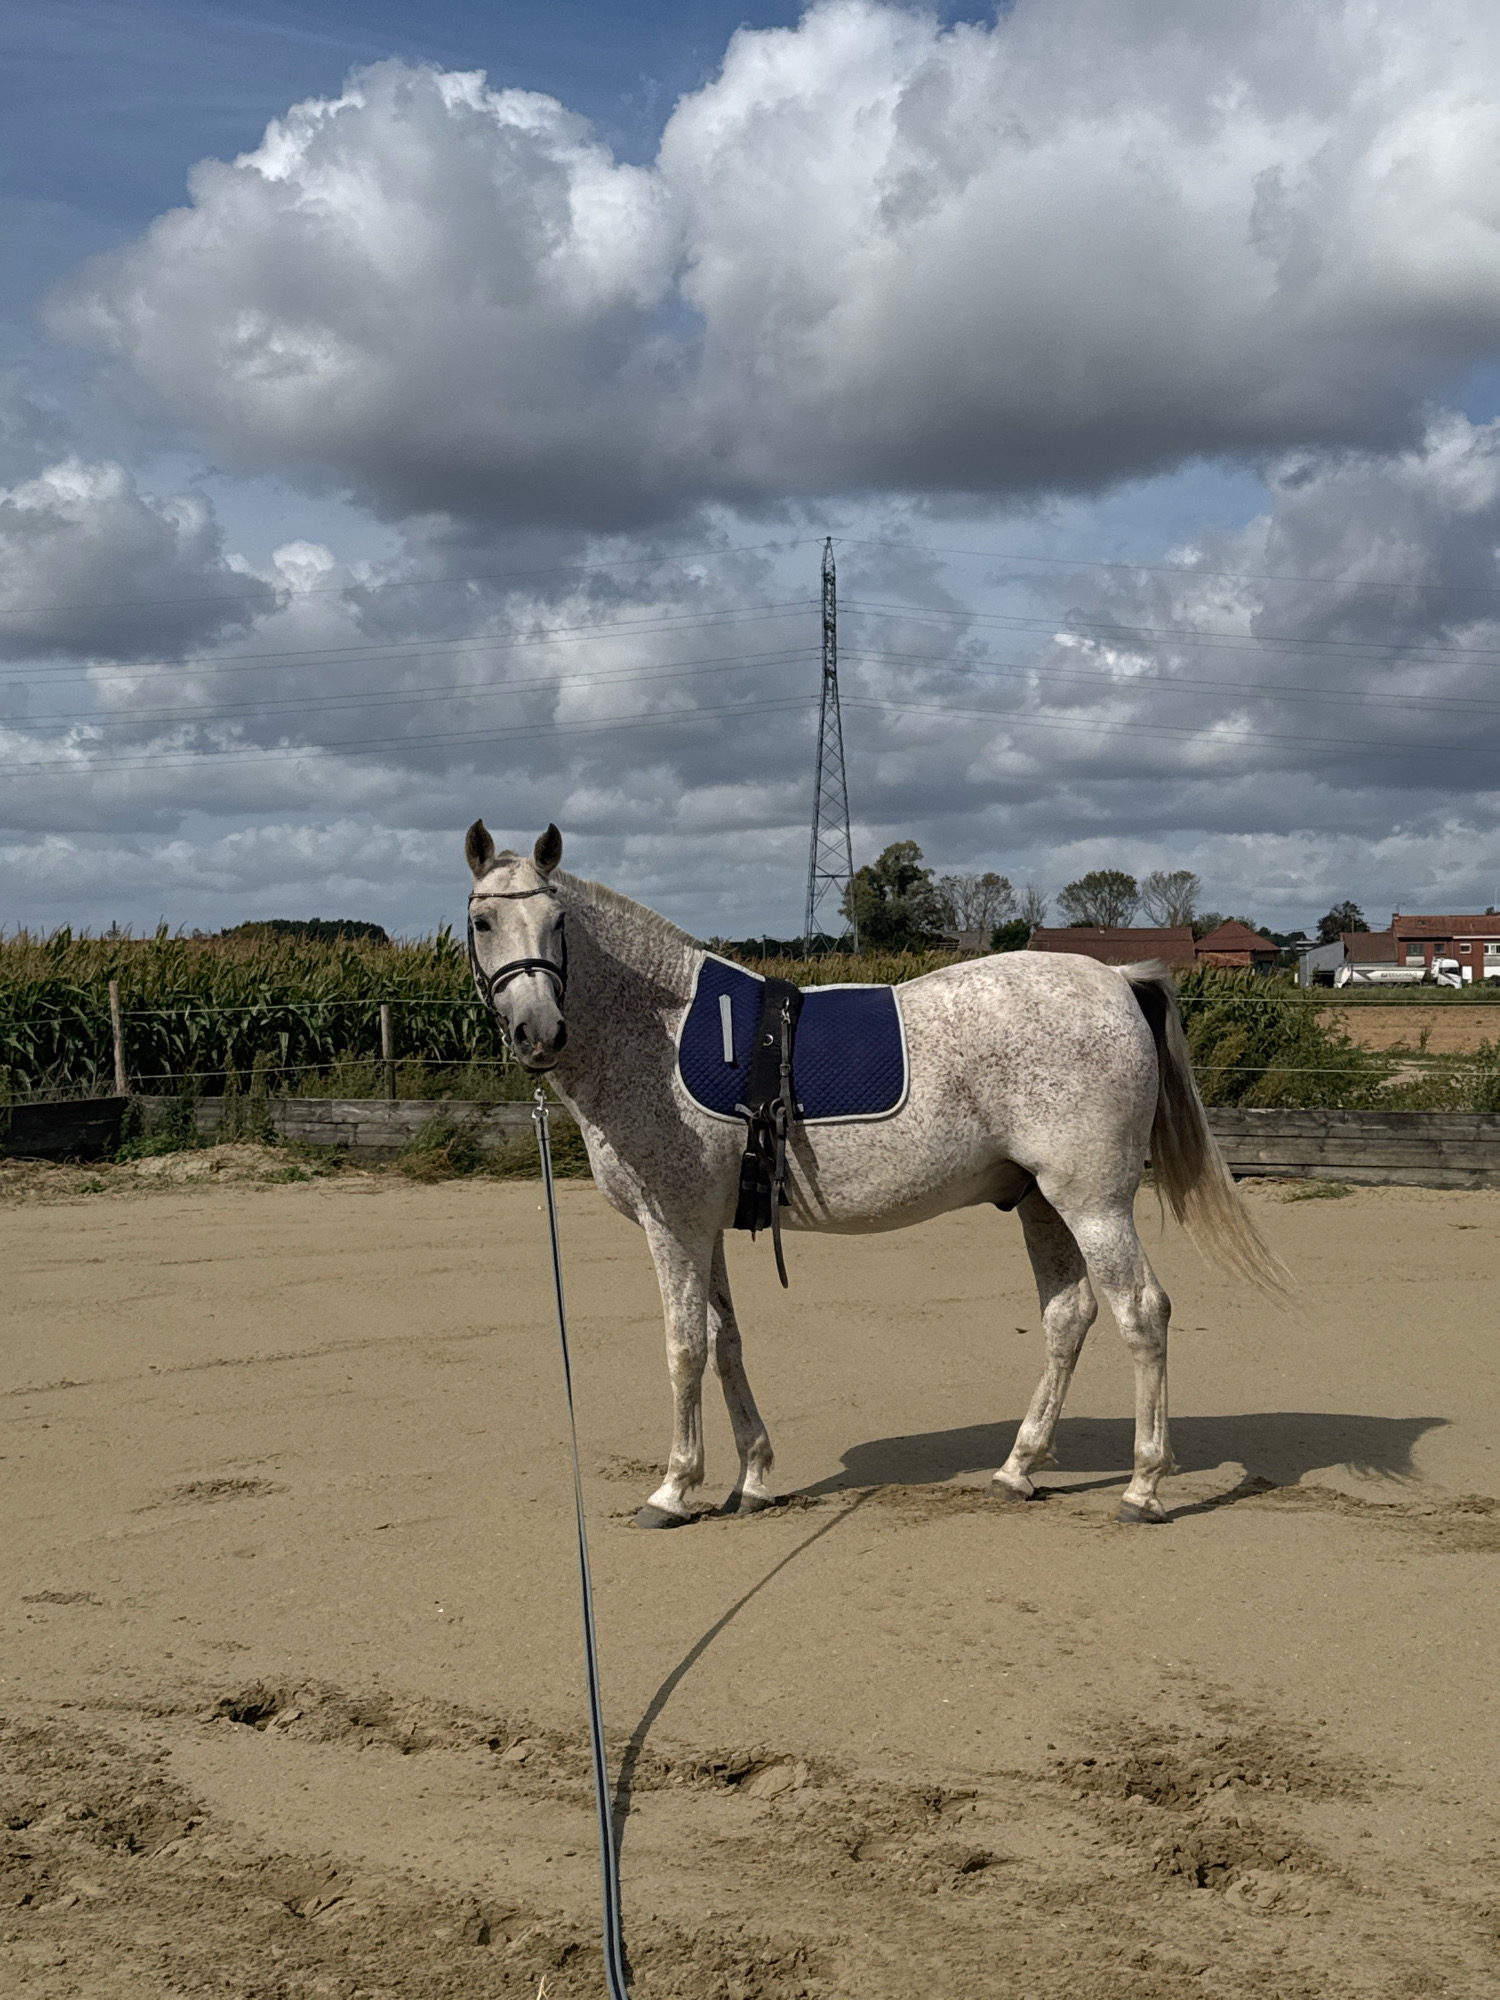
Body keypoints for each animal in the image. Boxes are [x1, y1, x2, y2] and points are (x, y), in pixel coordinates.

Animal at [465, 820, 1287, 1528]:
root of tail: (1115, 979)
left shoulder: (675, 1223)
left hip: (1093, 1203)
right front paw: (753, 1476)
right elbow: (725, 1341)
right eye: (481, 923)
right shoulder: (709, 1226)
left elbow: (684, 1347)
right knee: (1068, 1316)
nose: (539, 1032)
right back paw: (1018, 1468)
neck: (656, 1030)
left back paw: (1144, 1486)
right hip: (1041, 1203)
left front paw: (674, 1488)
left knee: (1141, 1314)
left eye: (557, 921)